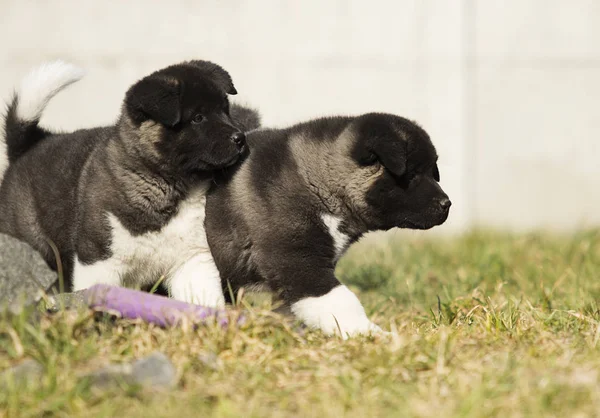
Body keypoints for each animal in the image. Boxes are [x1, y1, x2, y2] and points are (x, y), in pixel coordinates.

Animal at [0, 59, 255, 300]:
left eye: (225, 110)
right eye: (198, 118)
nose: (240, 139)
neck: (168, 185)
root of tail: (28, 147)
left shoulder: (192, 260)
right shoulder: (99, 261)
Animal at [206, 112, 450, 338]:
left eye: (432, 171)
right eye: (412, 174)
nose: (447, 204)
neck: (319, 181)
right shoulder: (297, 260)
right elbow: (340, 302)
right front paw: (371, 334)